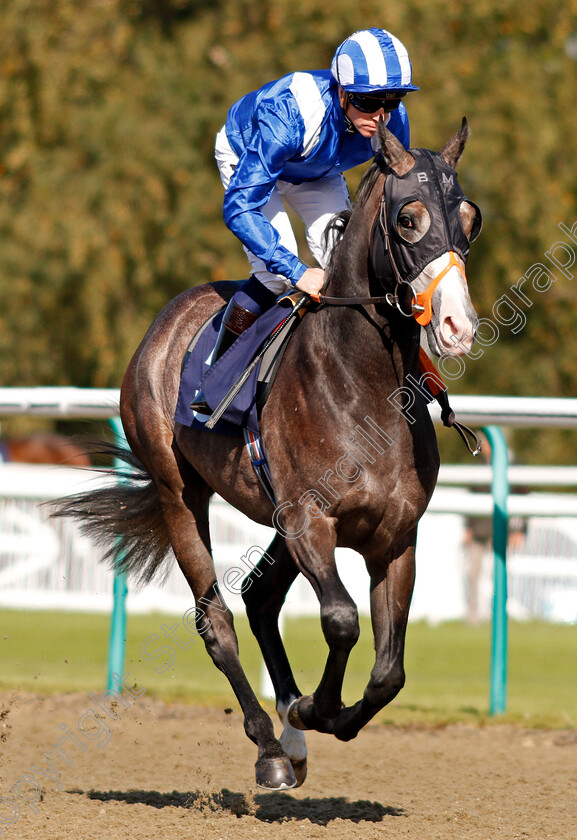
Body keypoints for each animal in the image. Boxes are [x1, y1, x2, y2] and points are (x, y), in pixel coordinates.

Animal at [54, 121, 480, 792]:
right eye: (409, 219)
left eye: (469, 217)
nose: (458, 325)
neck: (365, 385)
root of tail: (166, 321)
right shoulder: (309, 519)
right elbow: (340, 619)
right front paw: (313, 708)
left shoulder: (395, 536)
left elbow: (390, 671)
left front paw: (322, 715)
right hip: (182, 494)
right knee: (217, 620)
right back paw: (271, 747)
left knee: (259, 596)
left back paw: (291, 738)